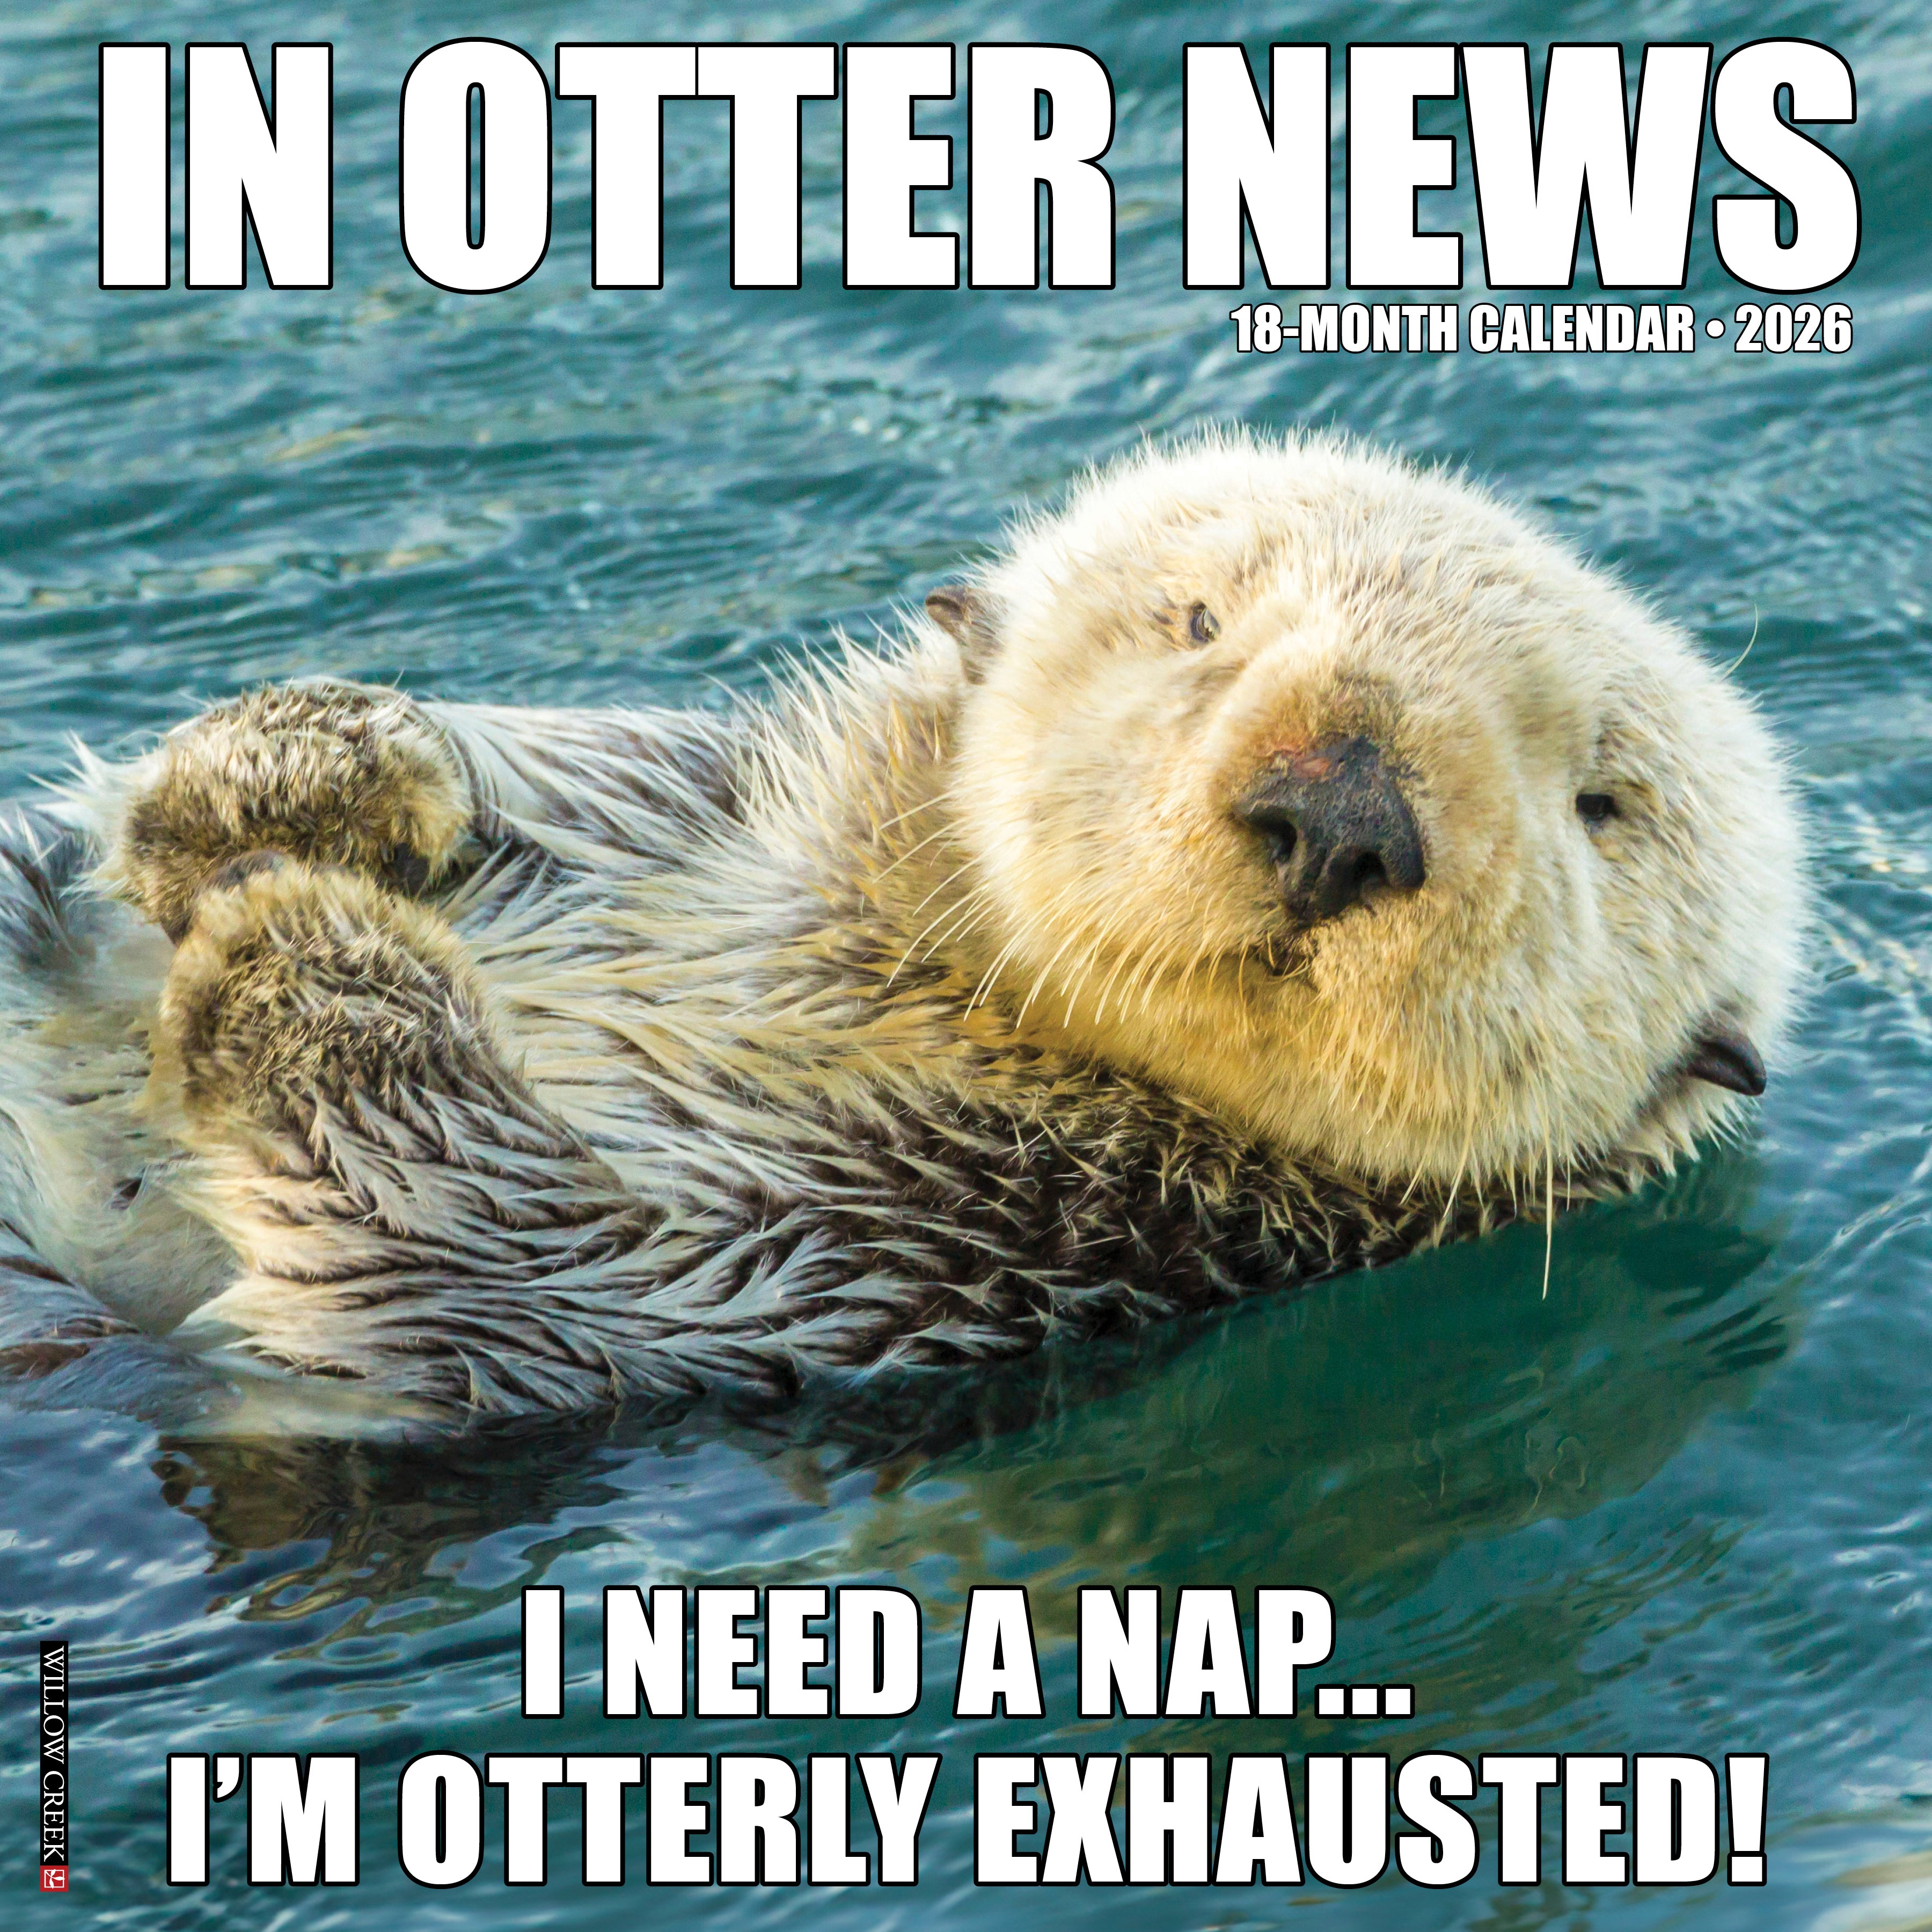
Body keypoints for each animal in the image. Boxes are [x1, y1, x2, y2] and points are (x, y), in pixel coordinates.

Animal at [0, 432, 1804, 1420]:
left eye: (1605, 803)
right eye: (1200, 619)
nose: (1342, 809)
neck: (921, 987)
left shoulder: (877, 1255)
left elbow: (469, 1238)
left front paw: (302, 953)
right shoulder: (670, 811)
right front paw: (303, 770)